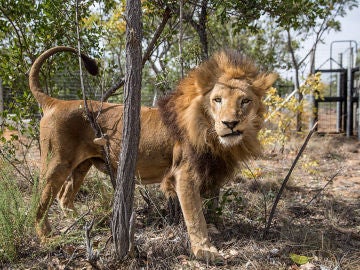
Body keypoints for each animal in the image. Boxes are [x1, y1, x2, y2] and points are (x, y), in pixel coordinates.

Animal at [31, 46, 278, 262]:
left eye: (245, 101)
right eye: (217, 100)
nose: (230, 123)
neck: (208, 130)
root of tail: (56, 103)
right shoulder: (184, 174)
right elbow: (196, 217)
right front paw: (205, 251)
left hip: (83, 165)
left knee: (64, 198)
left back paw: (83, 224)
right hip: (56, 163)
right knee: (40, 204)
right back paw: (48, 237)